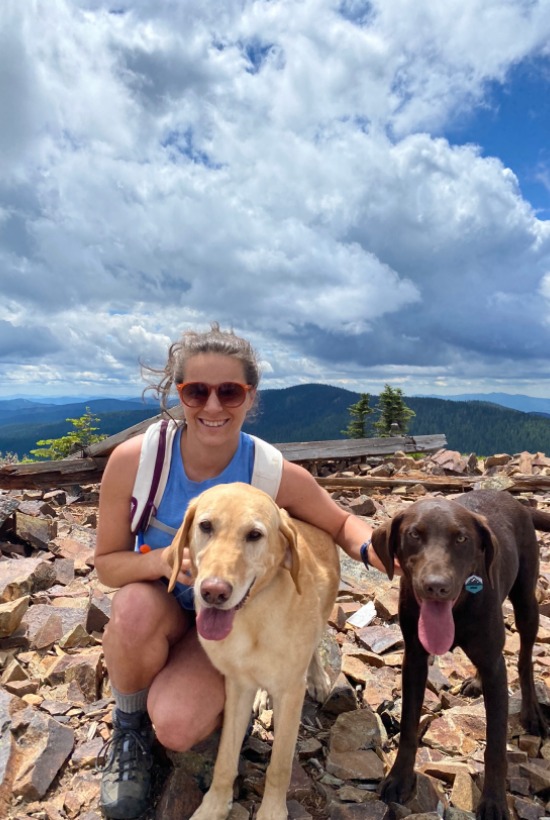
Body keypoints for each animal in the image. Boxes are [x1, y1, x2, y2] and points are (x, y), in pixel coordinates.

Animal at [166, 484, 342, 816]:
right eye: (205, 526)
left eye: (254, 535)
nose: (213, 592)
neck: (252, 619)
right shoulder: (237, 686)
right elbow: (225, 758)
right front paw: (214, 806)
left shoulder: (290, 694)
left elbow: (280, 766)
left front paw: (271, 811)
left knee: (315, 644)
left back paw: (317, 678)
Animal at [370, 490, 550, 816]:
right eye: (414, 534)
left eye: (462, 538)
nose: (436, 587)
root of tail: (513, 499)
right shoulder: (414, 661)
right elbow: (408, 727)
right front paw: (400, 778)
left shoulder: (495, 667)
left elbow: (495, 744)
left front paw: (494, 801)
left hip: (526, 603)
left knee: (525, 660)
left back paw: (532, 713)